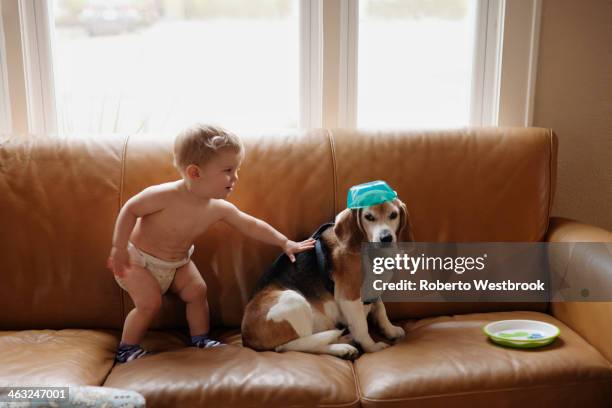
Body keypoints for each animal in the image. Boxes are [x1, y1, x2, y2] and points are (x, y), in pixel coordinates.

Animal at [241, 199, 414, 358]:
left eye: (393, 215)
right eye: (369, 217)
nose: (386, 238)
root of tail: (245, 337)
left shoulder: (372, 288)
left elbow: (381, 310)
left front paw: (390, 330)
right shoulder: (348, 296)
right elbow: (362, 326)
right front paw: (371, 347)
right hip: (293, 300)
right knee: (295, 346)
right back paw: (343, 347)